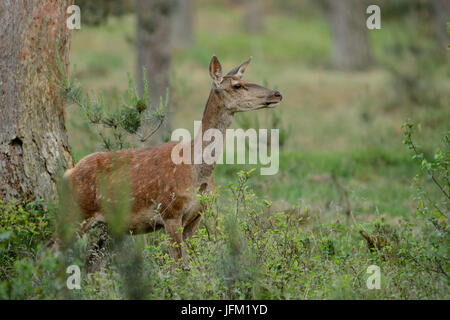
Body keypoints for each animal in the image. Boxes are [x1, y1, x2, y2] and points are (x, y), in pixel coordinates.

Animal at [63, 55, 282, 272]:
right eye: (237, 85)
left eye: (244, 80)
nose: (277, 94)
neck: (197, 171)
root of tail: (68, 173)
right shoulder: (170, 212)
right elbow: (178, 268)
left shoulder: (196, 216)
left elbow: (190, 265)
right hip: (76, 215)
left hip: (110, 228)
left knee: (92, 264)